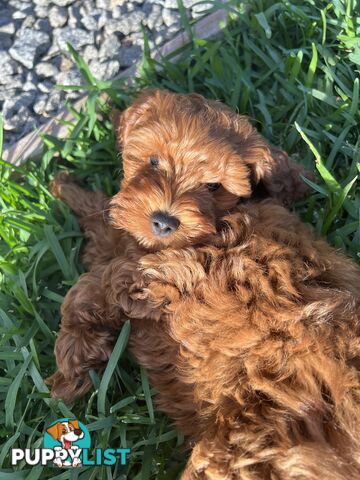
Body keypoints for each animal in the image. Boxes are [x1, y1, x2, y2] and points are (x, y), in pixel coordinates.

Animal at [47, 90, 360, 480]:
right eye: (153, 161)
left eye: (213, 186)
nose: (163, 222)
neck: (221, 221)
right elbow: (105, 227)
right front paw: (66, 185)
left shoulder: (173, 272)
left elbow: (91, 286)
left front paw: (66, 370)